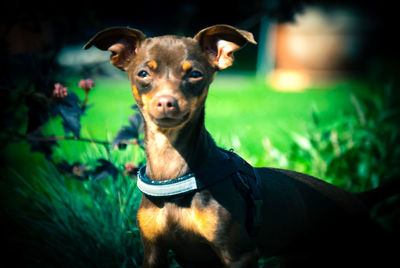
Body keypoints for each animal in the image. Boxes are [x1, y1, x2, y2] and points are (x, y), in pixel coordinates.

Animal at [84, 24, 396, 266]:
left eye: (195, 74)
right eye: (143, 74)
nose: (166, 102)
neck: (173, 171)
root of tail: (357, 199)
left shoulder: (238, 254)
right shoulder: (153, 252)